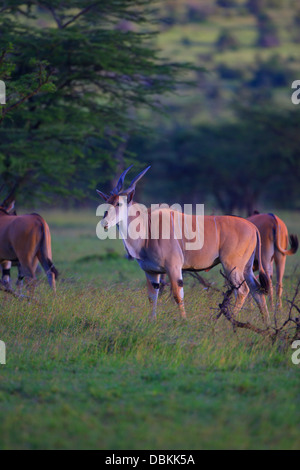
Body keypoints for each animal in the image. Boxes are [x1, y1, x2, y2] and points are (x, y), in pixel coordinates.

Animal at [97, 165, 270, 324]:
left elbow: (177, 295)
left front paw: (184, 321)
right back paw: (266, 323)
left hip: (232, 266)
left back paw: (230, 322)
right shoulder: (151, 272)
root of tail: (252, 226)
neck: (147, 228)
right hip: (246, 268)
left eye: (119, 204)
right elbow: (152, 297)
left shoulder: (173, 267)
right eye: (106, 203)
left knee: (242, 291)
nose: (104, 224)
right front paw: (152, 321)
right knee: (257, 291)